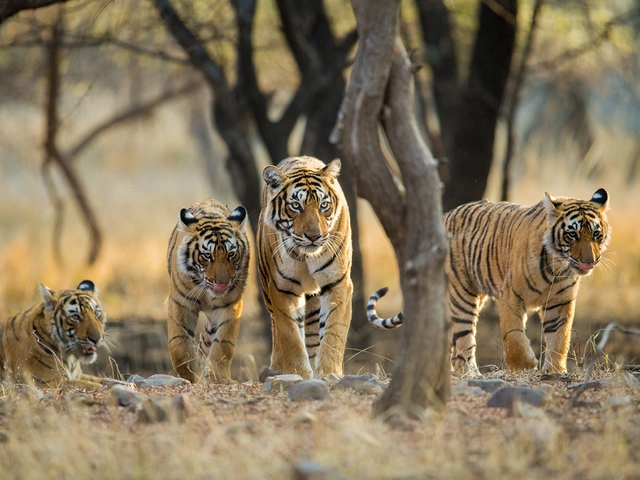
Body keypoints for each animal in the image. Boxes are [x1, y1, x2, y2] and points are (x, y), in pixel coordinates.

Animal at [166, 198, 250, 384]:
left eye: (231, 254)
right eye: (207, 256)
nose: (223, 284)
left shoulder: (229, 305)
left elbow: (223, 344)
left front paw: (218, 379)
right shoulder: (180, 303)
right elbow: (179, 344)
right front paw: (191, 375)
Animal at [257, 156, 353, 379]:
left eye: (324, 205)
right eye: (295, 206)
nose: (314, 236)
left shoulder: (338, 282)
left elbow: (334, 331)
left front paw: (329, 372)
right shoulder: (282, 288)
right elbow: (290, 336)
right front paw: (297, 372)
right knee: (277, 330)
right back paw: (276, 367)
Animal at [367, 188, 610, 374]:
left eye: (596, 234)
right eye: (572, 235)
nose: (589, 261)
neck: (557, 267)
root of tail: (444, 216)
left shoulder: (560, 303)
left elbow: (560, 338)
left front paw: (555, 370)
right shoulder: (510, 297)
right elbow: (513, 336)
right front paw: (525, 366)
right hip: (462, 295)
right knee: (464, 339)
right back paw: (470, 373)